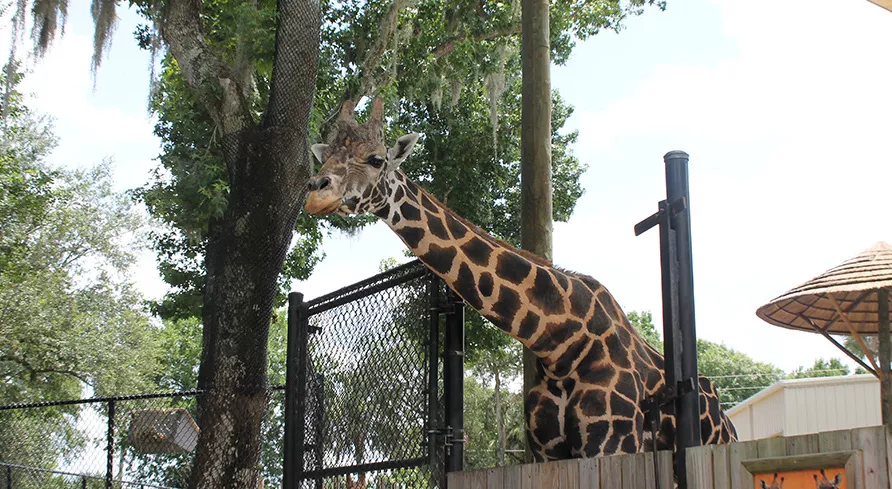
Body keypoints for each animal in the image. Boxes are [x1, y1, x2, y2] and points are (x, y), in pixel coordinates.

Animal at [304, 98, 736, 458]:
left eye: (377, 159)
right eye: (325, 159)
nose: (315, 193)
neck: (560, 344)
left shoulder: (613, 446)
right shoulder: (548, 452)